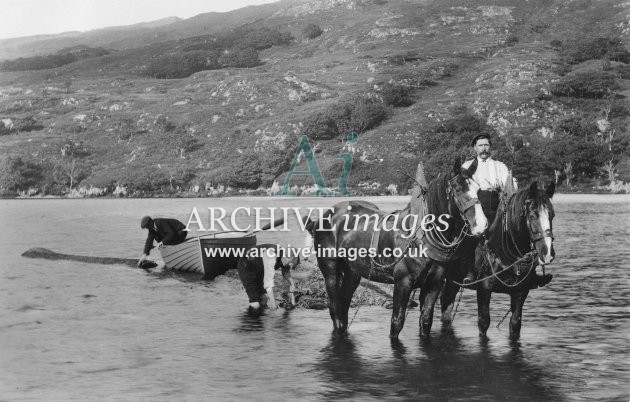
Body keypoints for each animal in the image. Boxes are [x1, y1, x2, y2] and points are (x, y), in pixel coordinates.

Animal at [306, 159, 488, 338]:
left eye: (478, 189)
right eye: (458, 189)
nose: (481, 224)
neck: (421, 238)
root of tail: (326, 214)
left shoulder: (434, 284)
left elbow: (426, 322)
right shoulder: (403, 282)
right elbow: (397, 322)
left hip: (352, 272)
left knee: (344, 305)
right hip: (331, 269)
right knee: (335, 307)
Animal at [440, 181, 556, 338]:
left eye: (552, 215)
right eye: (532, 215)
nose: (547, 253)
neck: (503, 251)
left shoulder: (521, 292)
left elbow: (515, 323)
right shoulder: (484, 289)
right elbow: (484, 322)